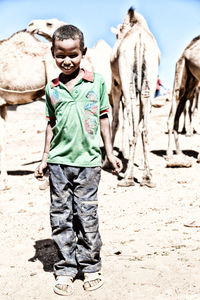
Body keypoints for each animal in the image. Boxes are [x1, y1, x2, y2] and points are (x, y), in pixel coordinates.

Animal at [108, 7, 160, 188]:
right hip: (149, 80)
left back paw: (127, 179)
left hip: (126, 80)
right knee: (144, 129)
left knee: (131, 128)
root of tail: (139, 40)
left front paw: (107, 162)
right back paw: (148, 178)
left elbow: (116, 121)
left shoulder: (116, 85)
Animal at [166, 35, 200, 164]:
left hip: (190, 85)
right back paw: (169, 154)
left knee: (177, 117)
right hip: (180, 75)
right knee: (171, 118)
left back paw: (180, 152)